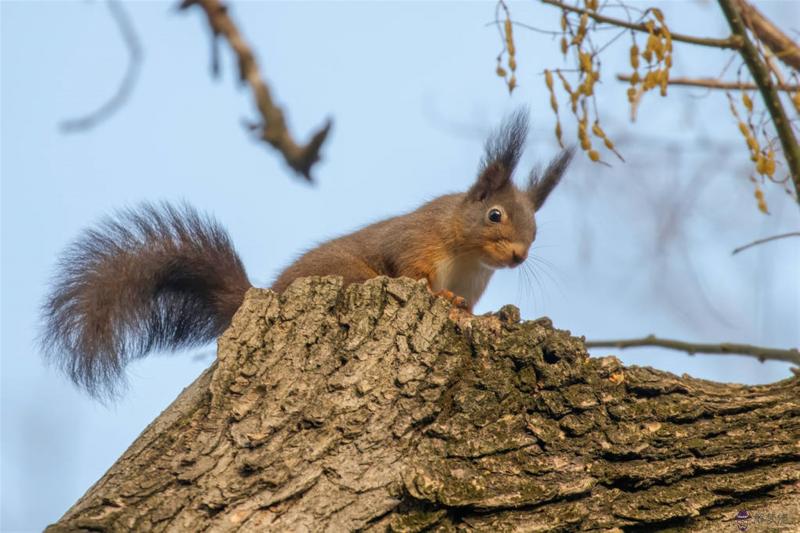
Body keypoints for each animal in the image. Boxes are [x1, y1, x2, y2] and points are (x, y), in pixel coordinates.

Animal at [40, 111, 572, 394]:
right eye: (495, 216)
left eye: (536, 227)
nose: (519, 256)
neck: (466, 257)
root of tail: (261, 295)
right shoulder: (415, 240)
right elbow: (412, 273)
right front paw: (442, 299)